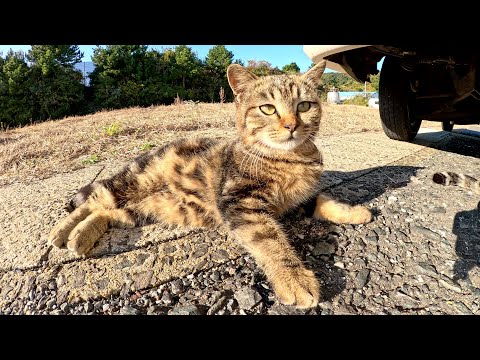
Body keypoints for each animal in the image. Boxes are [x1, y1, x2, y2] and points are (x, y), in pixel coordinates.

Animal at [48, 61, 372, 306]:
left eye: (304, 106)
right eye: (268, 109)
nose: (292, 125)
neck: (291, 160)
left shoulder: (300, 198)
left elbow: (324, 199)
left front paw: (355, 212)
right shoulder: (240, 203)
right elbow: (271, 242)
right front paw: (294, 279)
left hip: (143, 209)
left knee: (106, 213)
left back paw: (81, 237)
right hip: (130, 184)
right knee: (93, 201)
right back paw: (62, 232)